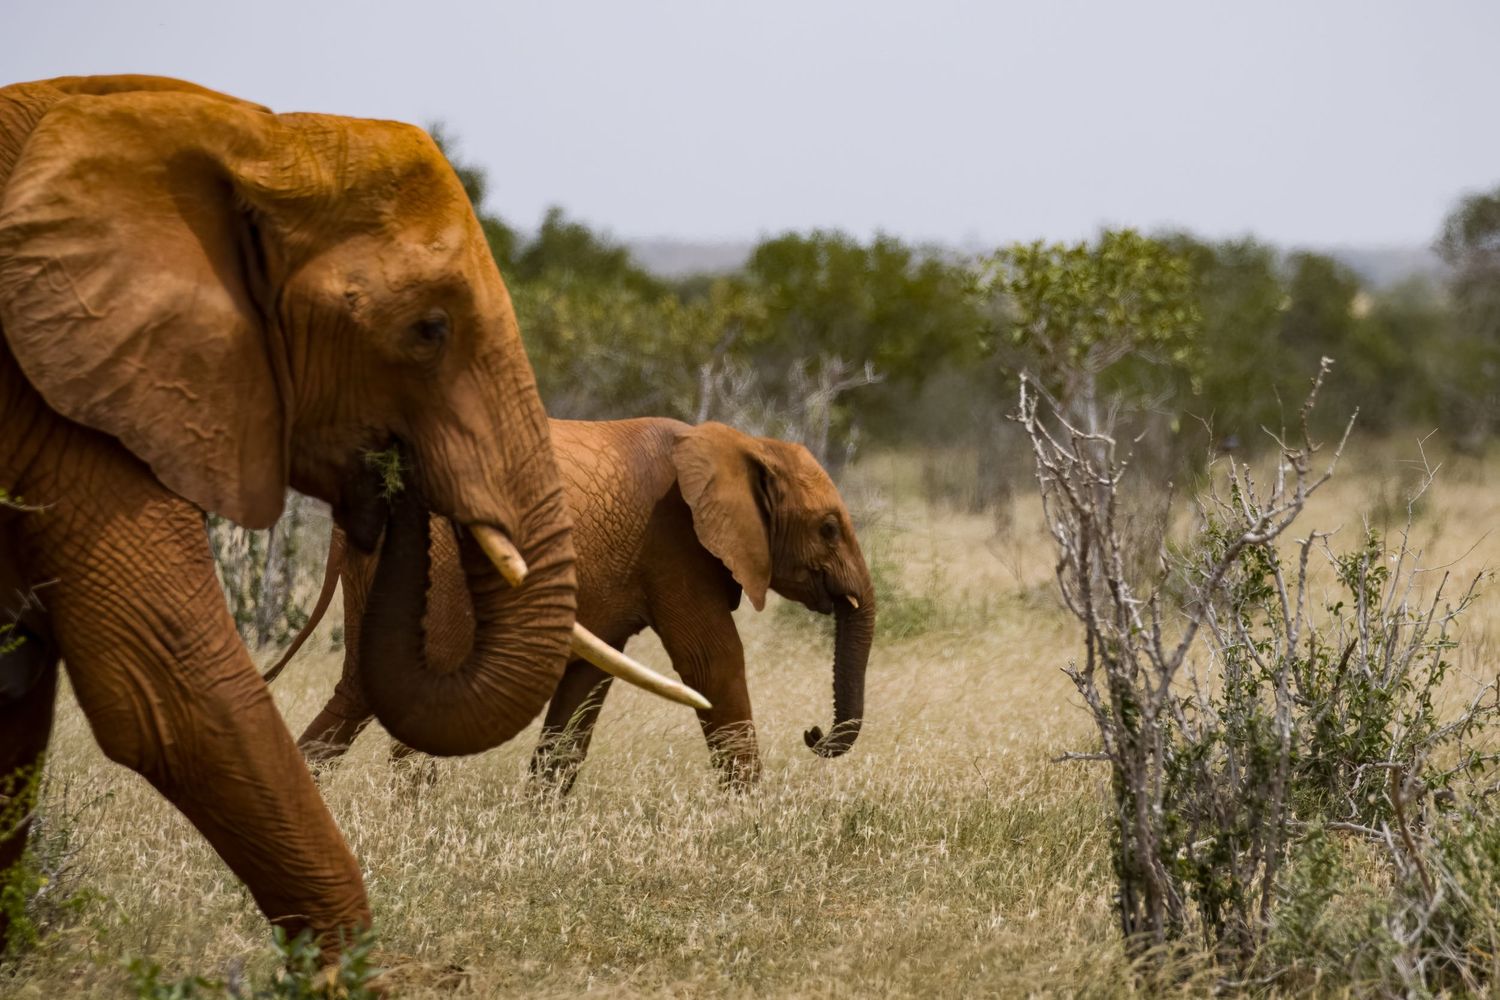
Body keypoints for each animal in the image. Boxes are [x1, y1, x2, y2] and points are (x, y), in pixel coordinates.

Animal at [0, 75, 697, 957]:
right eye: (429, 330)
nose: (390, 478)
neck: (241, 135)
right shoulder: (69, 392)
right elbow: (166, 694)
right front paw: (356, 969)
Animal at [267, 418, 878, 789]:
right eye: (828, 528)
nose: (812, 734)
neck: (742, 444)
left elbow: (588, 680)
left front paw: (540, 822)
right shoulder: (674, 544)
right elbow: (712, 662)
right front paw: (748, 816)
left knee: (358, 687)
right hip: (435, 561)